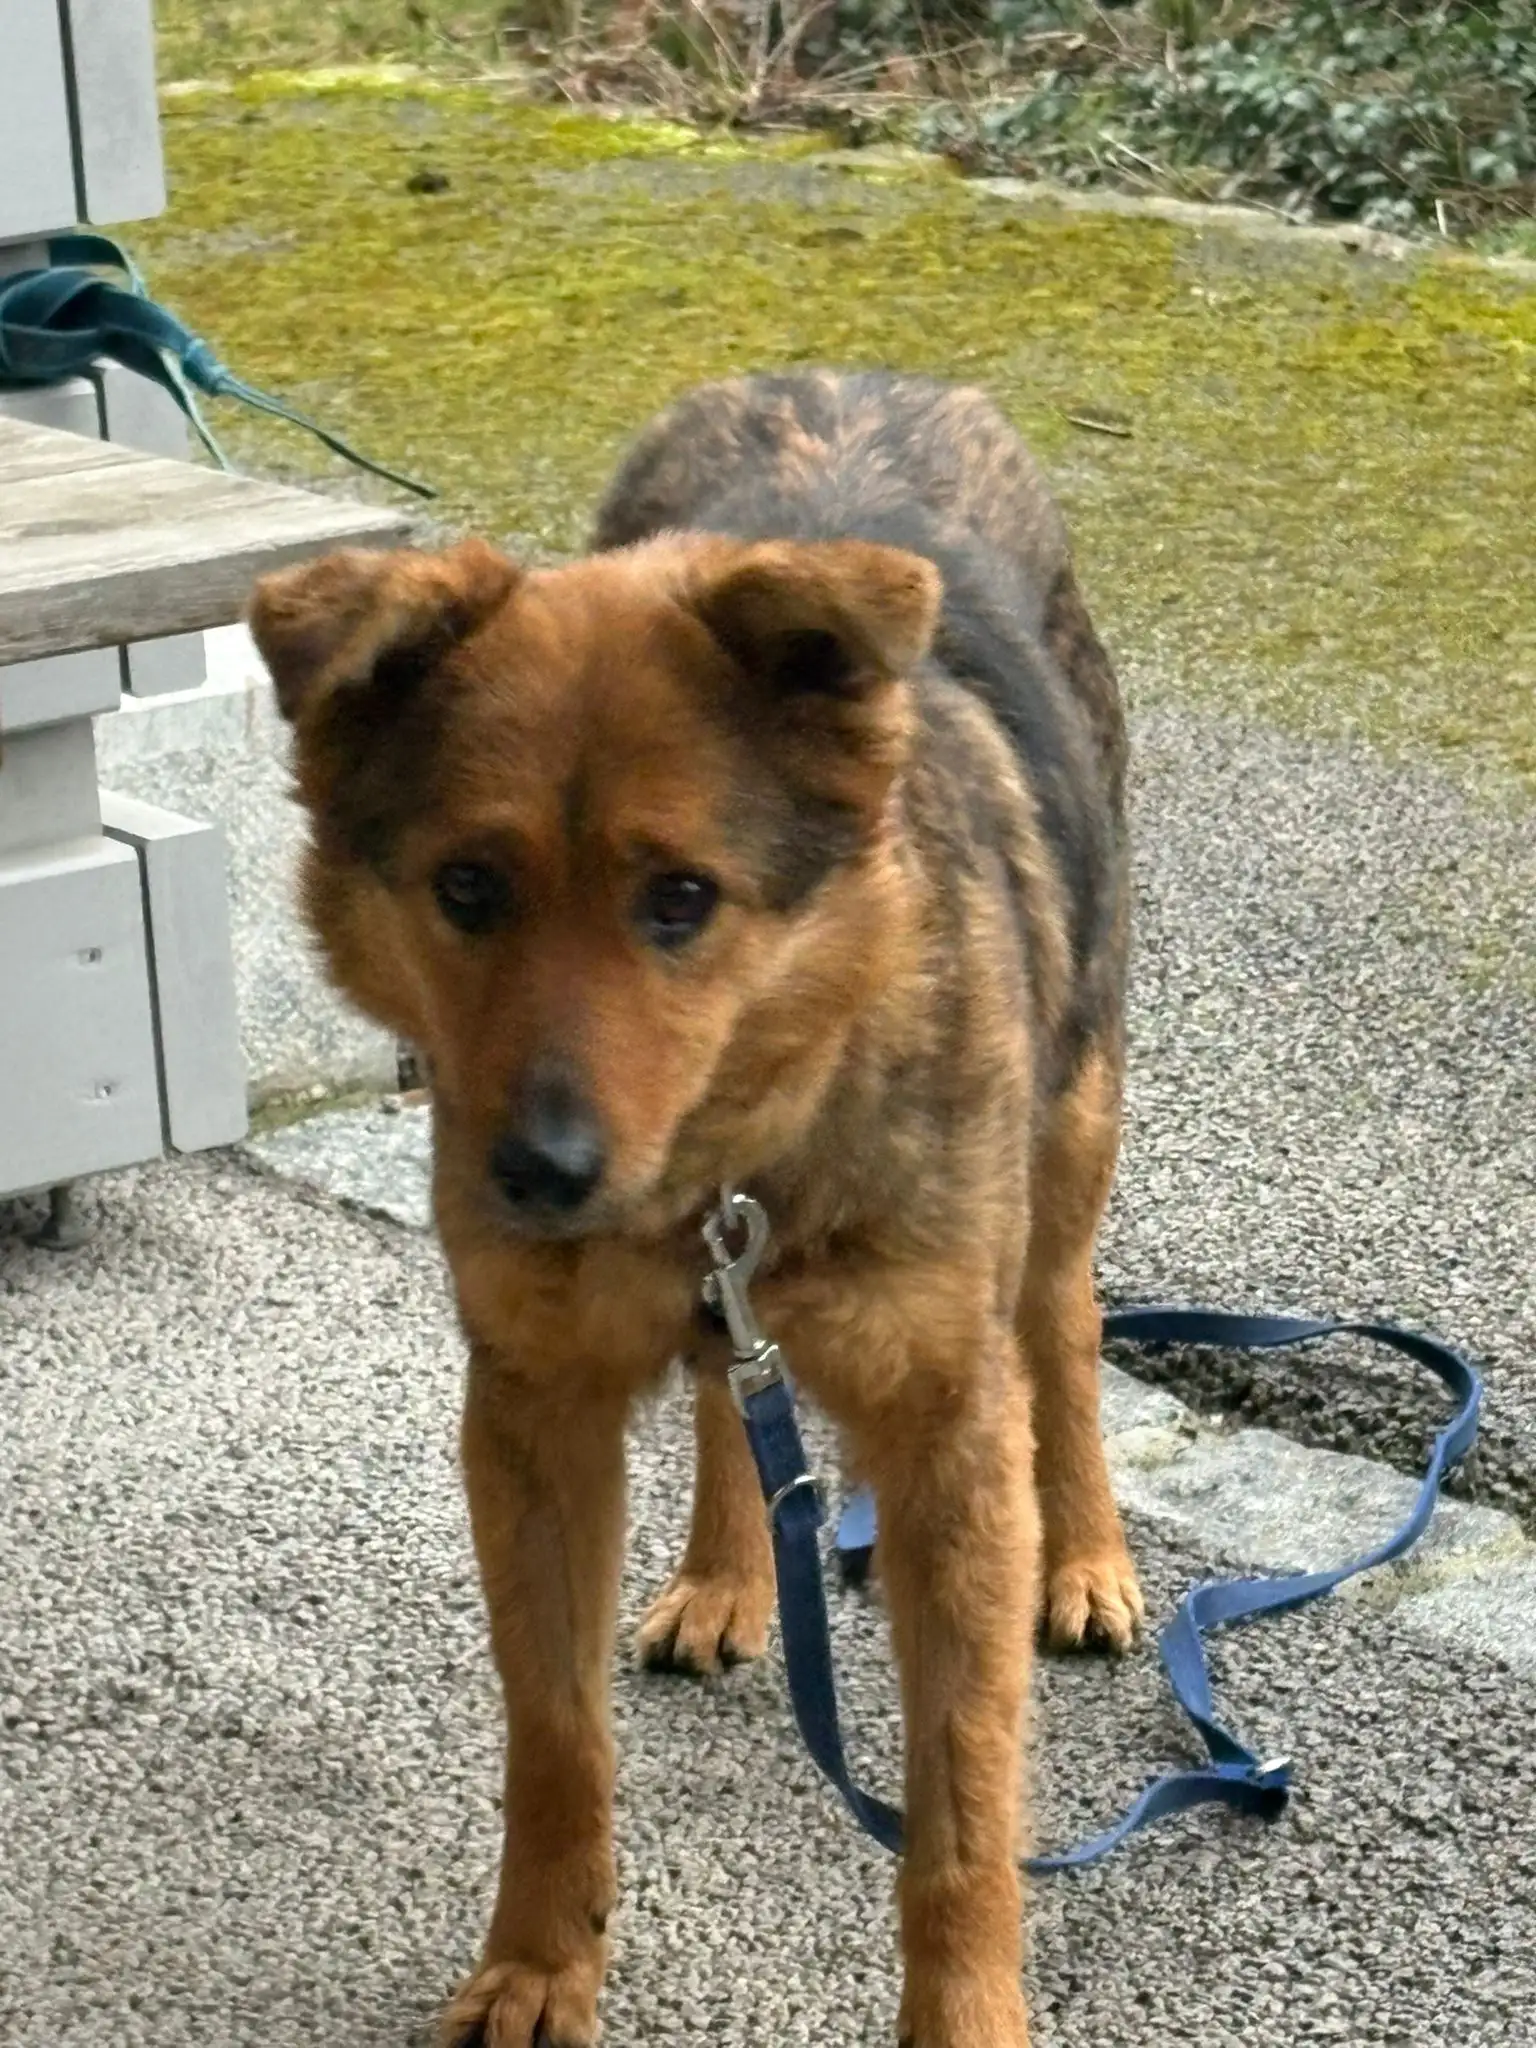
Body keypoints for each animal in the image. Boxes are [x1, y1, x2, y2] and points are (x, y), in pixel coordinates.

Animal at [248, 368, 1142, 2048]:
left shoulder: (948, 1440)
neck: (727, 1168)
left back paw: (1092, 1560)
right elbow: (555, 1740)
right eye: (468, 889)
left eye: (681, 900)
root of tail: (870, 378)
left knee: (1065, 1327)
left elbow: (962, 1808)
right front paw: (541, 1963)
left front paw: (967, 2012)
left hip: (1071, 1135)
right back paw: (731, 1575)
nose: (536, 1178)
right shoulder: (533, 1418)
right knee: (739, 1403)